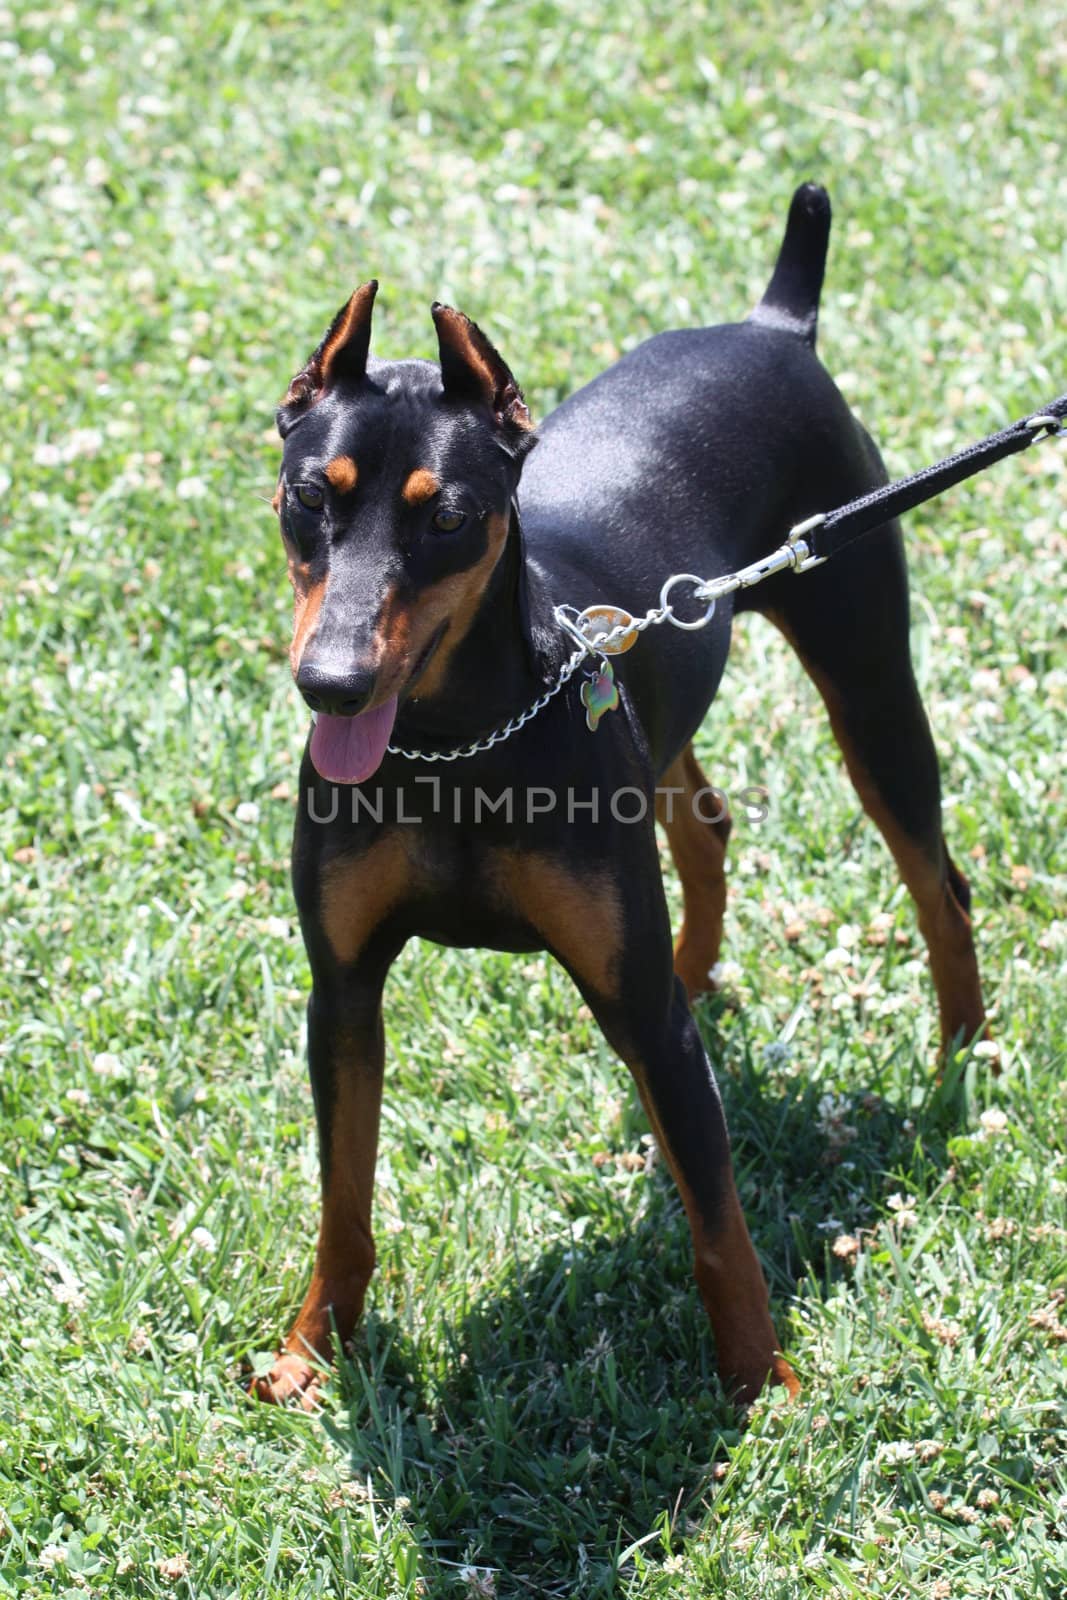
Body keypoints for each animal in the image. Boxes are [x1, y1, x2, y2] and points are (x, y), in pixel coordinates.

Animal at [254, 187, 991, 1408]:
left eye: (446, 517)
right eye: (310, 497)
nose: (332, 683)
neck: (452, 747)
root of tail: (773, 323)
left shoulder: (644, 1020)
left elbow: (718, 1221)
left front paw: (761, 1387)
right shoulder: (343, 993)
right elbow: (342, 1203)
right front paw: (313, 1352)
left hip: (867, 677)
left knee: (937, 882)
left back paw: (959, 1057)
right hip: (652, 698)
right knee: (700, 825)